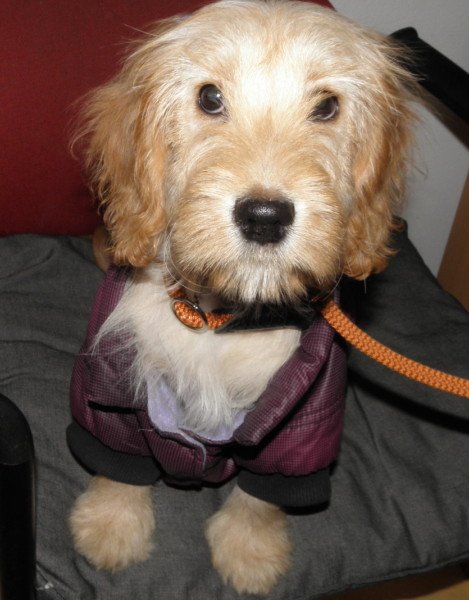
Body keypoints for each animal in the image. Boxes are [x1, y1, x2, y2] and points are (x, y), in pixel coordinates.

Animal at [68, 0, 416, 595]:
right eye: (210, 98)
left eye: (327, 106)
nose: (265, 217)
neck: (217, 319)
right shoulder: (110, 387)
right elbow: (119, 464)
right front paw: (112, 526)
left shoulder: (303, 422)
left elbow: (262, 496)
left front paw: (251, 553)